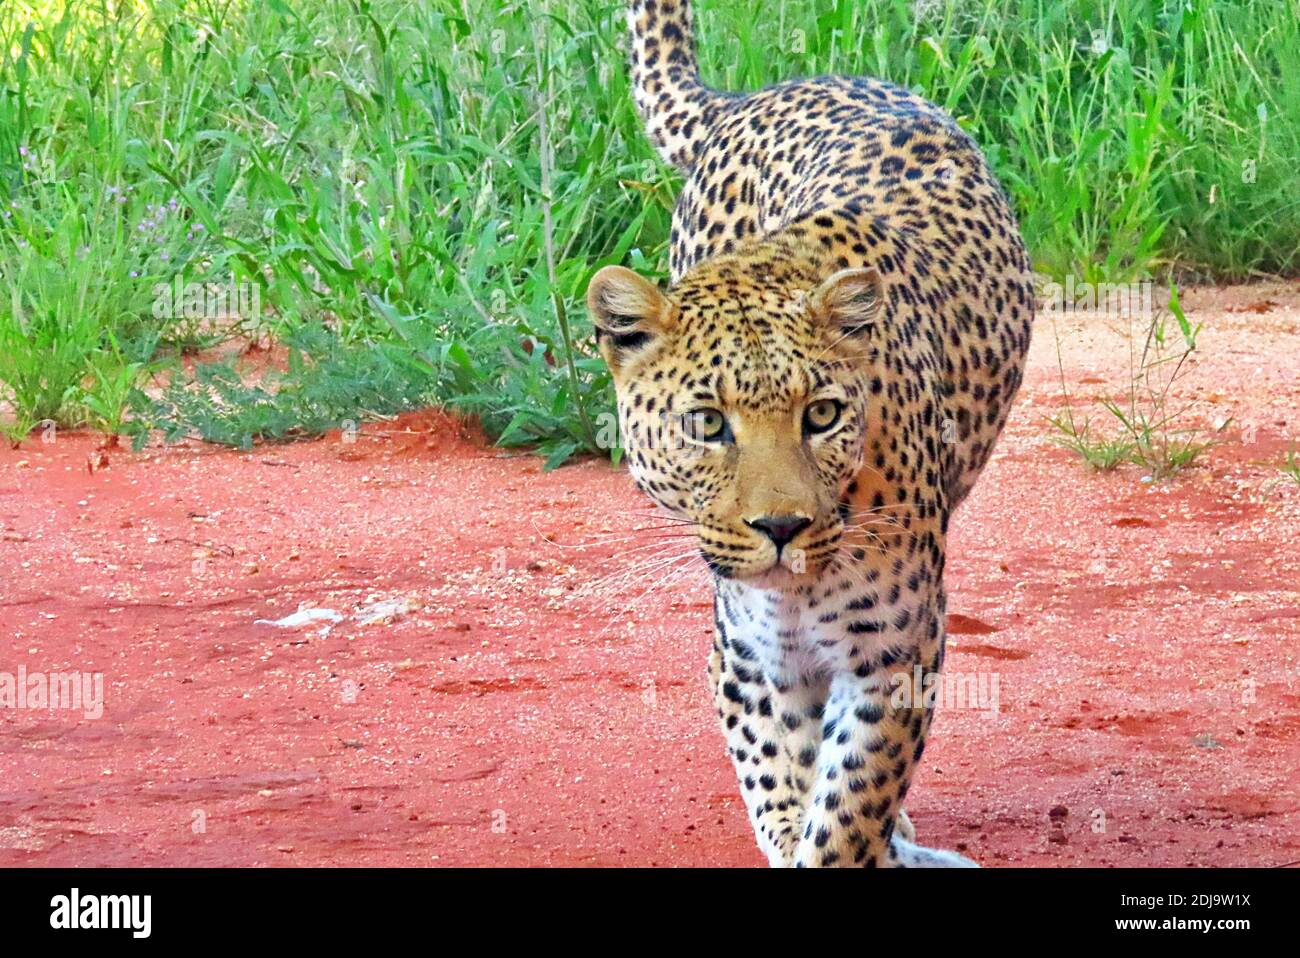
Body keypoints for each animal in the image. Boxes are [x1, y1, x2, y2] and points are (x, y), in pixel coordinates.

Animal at [586, 0, 1034, 867]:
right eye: (707, 424)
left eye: (820, 415)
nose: (782, 528)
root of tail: (751, 98)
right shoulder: (752, 661)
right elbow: (782, 783)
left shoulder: (894, 655)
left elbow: (846, 812)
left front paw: (857, 833)